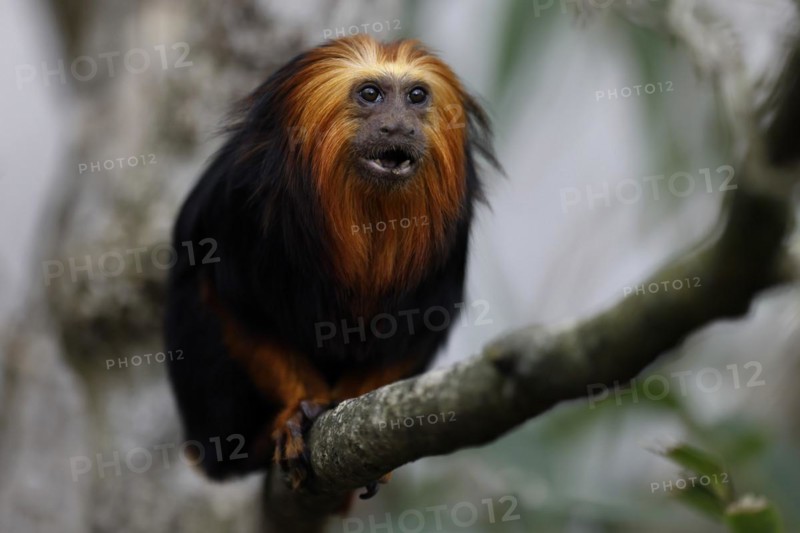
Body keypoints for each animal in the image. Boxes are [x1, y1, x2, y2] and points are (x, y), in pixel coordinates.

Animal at [164, 35, 498, 498]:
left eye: (416, 96)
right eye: (371, 94)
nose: (400, 127)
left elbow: (411, 336)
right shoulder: (236, 206)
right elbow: (233, 310)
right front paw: (293, 414)